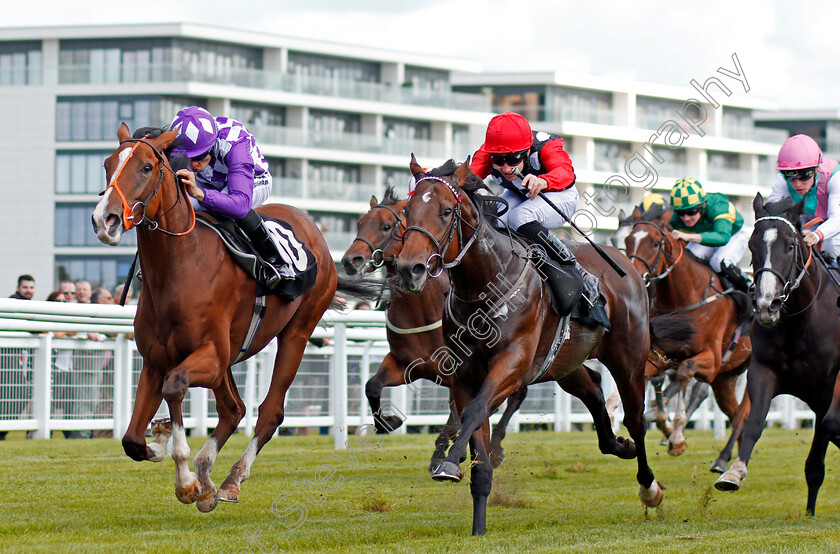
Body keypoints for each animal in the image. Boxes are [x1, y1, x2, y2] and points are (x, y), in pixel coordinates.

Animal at [88, 123, 370, 512]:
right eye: (107, 164)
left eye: (146, 167)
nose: (105, 219)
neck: (180, 267)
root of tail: (315, 233)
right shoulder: (156, 361)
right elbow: (131, 439)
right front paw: (162, 440)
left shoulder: (209, 356)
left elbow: (175, 386)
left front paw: (186, 481)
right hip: (230, 356)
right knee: (233, 408)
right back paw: (209, 477)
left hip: (296, 333)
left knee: (268, 412)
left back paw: (231, 480)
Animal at [340, 188, 524, 468]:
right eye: (360, 223)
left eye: (386, 226)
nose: (351, 260)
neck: (420, 310)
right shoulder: (405, 364)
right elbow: (372, 385)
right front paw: (389, 422)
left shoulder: (456, 372)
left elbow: (458, 414)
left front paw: (443, 452)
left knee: (516, 394)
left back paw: (495, 449)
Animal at [394, 156, 664, 536]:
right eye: (407, 210)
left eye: (446, 211)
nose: (409, 269)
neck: (485, 283)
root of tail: (627, 265)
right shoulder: (464, 376)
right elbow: (476, 444)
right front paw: (478, 526)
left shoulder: (513, 362)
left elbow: (476, 410)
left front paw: (448, 462)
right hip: (565, 363)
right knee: (593, 388)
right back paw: (617, 445)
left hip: (629, 360)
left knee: (636, 420)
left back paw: (649, 487)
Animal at [624, 209, 756, 468]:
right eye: (627, 241)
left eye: (655, 243)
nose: (633, 275)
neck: (687, 296)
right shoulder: (661, 356)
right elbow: (653, 378)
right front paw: (661, 423)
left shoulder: (712, 360)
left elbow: (685, 371)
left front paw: (676, 437)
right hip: (725, 379)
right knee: (735, 412)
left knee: (743, 415)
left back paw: (722, 460)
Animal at [716, 195, 840, 512]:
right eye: (752, 245)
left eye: (791, 245)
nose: (766, 305)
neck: (802, 323)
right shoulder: (763, 370)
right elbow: (754, 421)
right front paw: (732, 473)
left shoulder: (831, 382)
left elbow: (828, 429)